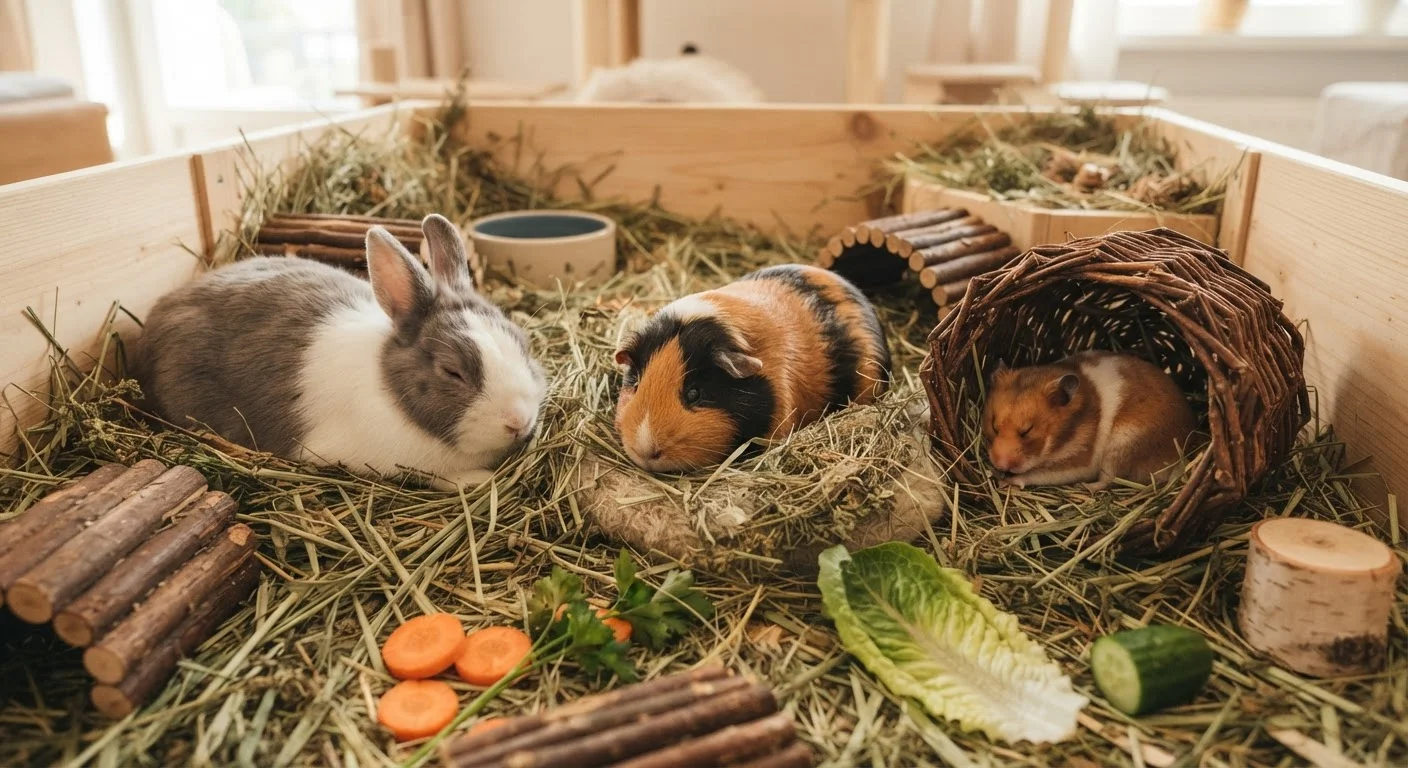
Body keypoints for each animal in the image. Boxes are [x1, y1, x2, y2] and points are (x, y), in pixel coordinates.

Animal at [981, 351, 1197, 489]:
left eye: (1027, 431)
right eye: (993, 426)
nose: (1000, 466)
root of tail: (1186, 449)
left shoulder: (1081, 463)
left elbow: (1036, 474)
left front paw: (1006, 481)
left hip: (1122, 446)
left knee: (1108, 480)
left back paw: (1086, 487)